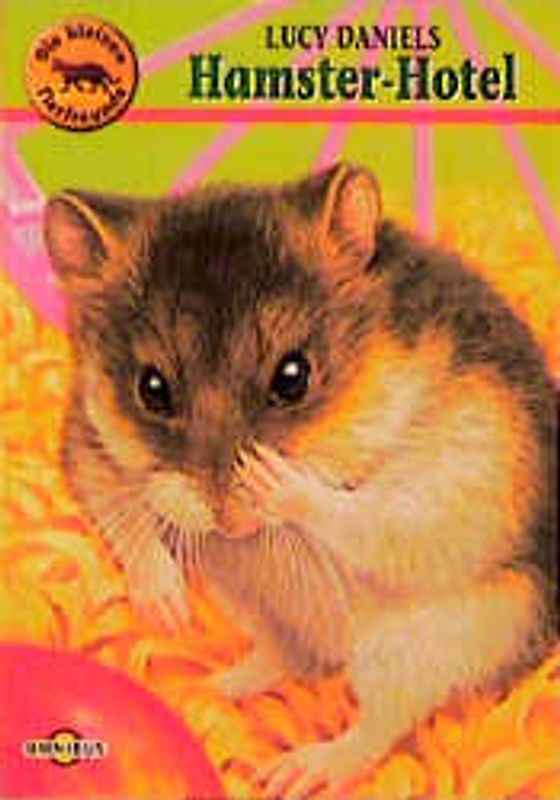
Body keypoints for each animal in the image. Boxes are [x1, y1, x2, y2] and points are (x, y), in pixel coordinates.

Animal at [45, 163, 557, 797]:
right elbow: (123, 509)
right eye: (151, 388)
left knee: (377, 726)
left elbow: (368, 518)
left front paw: (276, 478)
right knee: (287, 657)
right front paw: (168, 609)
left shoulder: (453, 479)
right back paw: (210, 688)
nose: (229, 522)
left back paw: (297, 771)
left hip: (426, 645)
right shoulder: (87, 439)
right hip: (252, 601)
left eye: (294, 376)